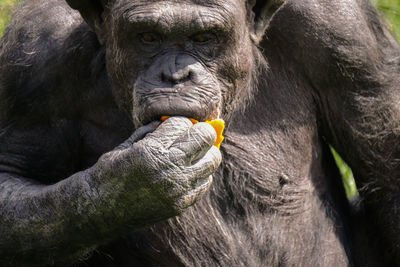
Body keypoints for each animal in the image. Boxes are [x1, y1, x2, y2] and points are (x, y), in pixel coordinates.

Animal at [0, 0, 400, 266]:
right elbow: (13, 175)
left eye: (204, 37)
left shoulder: (346, 35)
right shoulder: (33, 58)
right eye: (147, 37)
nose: (176, 74)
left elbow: (386, 168)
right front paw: (136, 180)